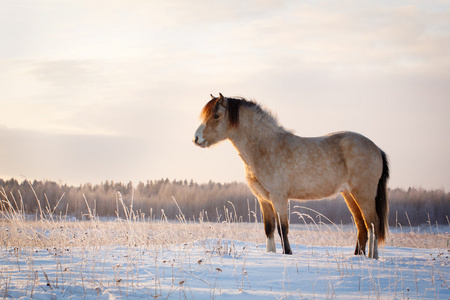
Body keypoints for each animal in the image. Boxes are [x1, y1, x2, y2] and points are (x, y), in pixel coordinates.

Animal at [192, 93, 388, 258]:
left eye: (216, 116)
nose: (196, 138)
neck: (265, 147)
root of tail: (376, 148)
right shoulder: (263, 199)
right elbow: (269, 229)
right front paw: (270, 254)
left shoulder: (279, 198)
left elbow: (282, 229)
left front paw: (287, 254)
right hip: (349, 194)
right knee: (362, 226)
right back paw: (359, 257)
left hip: (363, 194)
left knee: (373, 224)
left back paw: (373, 257)